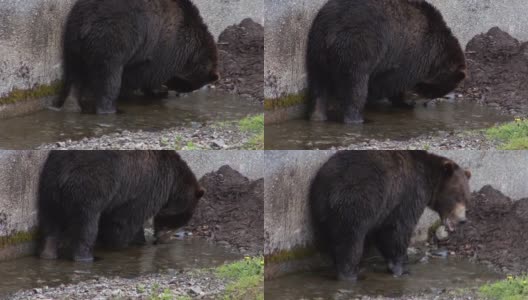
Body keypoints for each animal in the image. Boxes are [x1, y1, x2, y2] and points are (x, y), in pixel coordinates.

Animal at [37, 151, 204, 262]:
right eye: (178, 221)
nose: (161, 240)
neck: (172, 183)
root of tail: (65, 172)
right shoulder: (145, 188)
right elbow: (126, 219)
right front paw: (128, 242)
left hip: (49, 186)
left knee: (50, 222)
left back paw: (48, 253)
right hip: (89, 188)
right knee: (86, 224)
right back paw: (85, 256)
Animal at [52, 0, 218, 114]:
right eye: (188, 85)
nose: (177, 93)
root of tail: (87, 21)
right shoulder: (162, 46)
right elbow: (149, 72)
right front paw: (157, 90)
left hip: (72, 41)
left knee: (74, 75)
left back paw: (71, 104)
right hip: (112, 41)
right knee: (109, 78)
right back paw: (110, 109)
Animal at [306, 0, 466, 123]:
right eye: (433, 91)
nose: (422, 103)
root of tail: (333, 29)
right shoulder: (410, 53)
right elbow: (394, 81)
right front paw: (402, 101)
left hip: (316, 46)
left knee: (318, 83)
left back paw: (317, 115)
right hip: (359, 47)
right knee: (355, 85)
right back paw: (356, 118)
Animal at [310, 152, 470, 282]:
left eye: (466, 197)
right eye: (457, 196)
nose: (462, 220)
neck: (429, 179)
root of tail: (332, 186)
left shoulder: (387, 206)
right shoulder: (407, 194)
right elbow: (398, 228)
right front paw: (401, 267)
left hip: (322, 206)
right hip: (357, 200)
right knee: (351, 238)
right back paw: (350, 274)